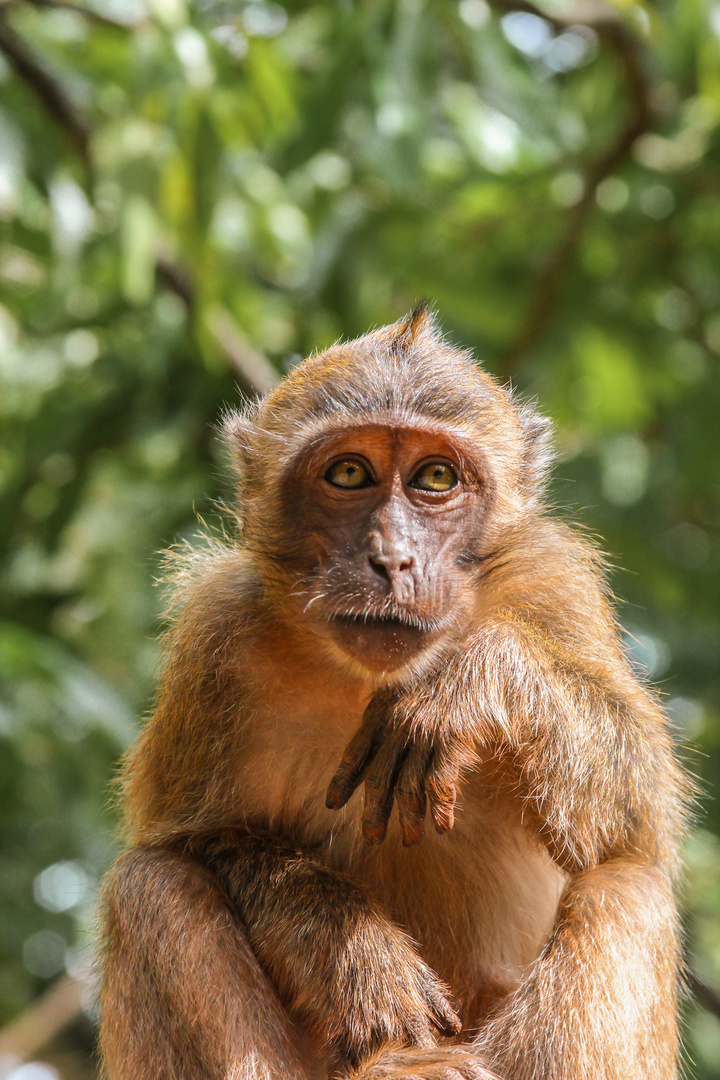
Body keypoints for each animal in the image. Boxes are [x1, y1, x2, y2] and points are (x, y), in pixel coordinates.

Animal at [98, 302, 690, 1080]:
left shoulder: (556, 584)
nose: (392, 558)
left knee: (626, 887)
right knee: (153, 886)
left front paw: (468, 683)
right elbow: (195, 838)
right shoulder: (216, 639)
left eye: (435, 477)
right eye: (350, 472)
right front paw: (343, 946)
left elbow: (639, 812)